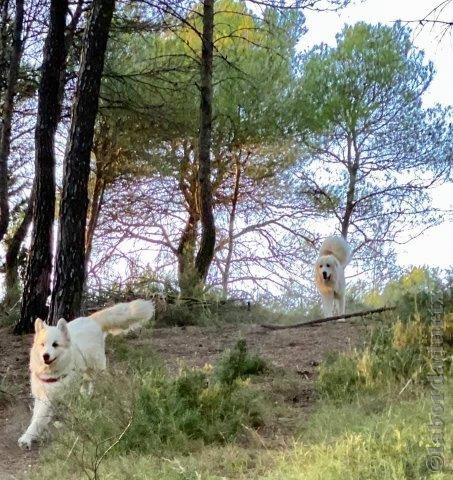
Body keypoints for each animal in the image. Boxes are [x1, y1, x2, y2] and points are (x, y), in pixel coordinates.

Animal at [17, 298, 154, 448]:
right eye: (42, 345)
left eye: (55, 345)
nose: (45, 356)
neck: (51, 372)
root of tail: (91, 319)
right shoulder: (41, 395)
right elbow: (37, 418)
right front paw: (37, 434)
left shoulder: (51, 398)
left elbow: (38, 420)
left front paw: (27, 438)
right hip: (85, 371)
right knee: (87, 383)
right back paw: (85, 397)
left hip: (97, 368)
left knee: (98, 382)